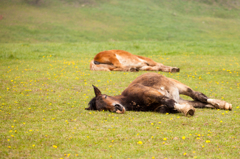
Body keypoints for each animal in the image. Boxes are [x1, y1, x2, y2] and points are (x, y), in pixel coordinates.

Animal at [85, 72, 232, 116]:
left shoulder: (153, 94)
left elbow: (169, 102)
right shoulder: (158, 106)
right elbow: (166, 107)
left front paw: (187, 111)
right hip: (180, 97)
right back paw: (220, 105)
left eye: (105, 96)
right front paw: (186, 109)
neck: (129, 99)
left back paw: (222, 104)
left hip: (180, 87)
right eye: (103, 109)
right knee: (198, 102)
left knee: (199, 95)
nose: (117, 108)